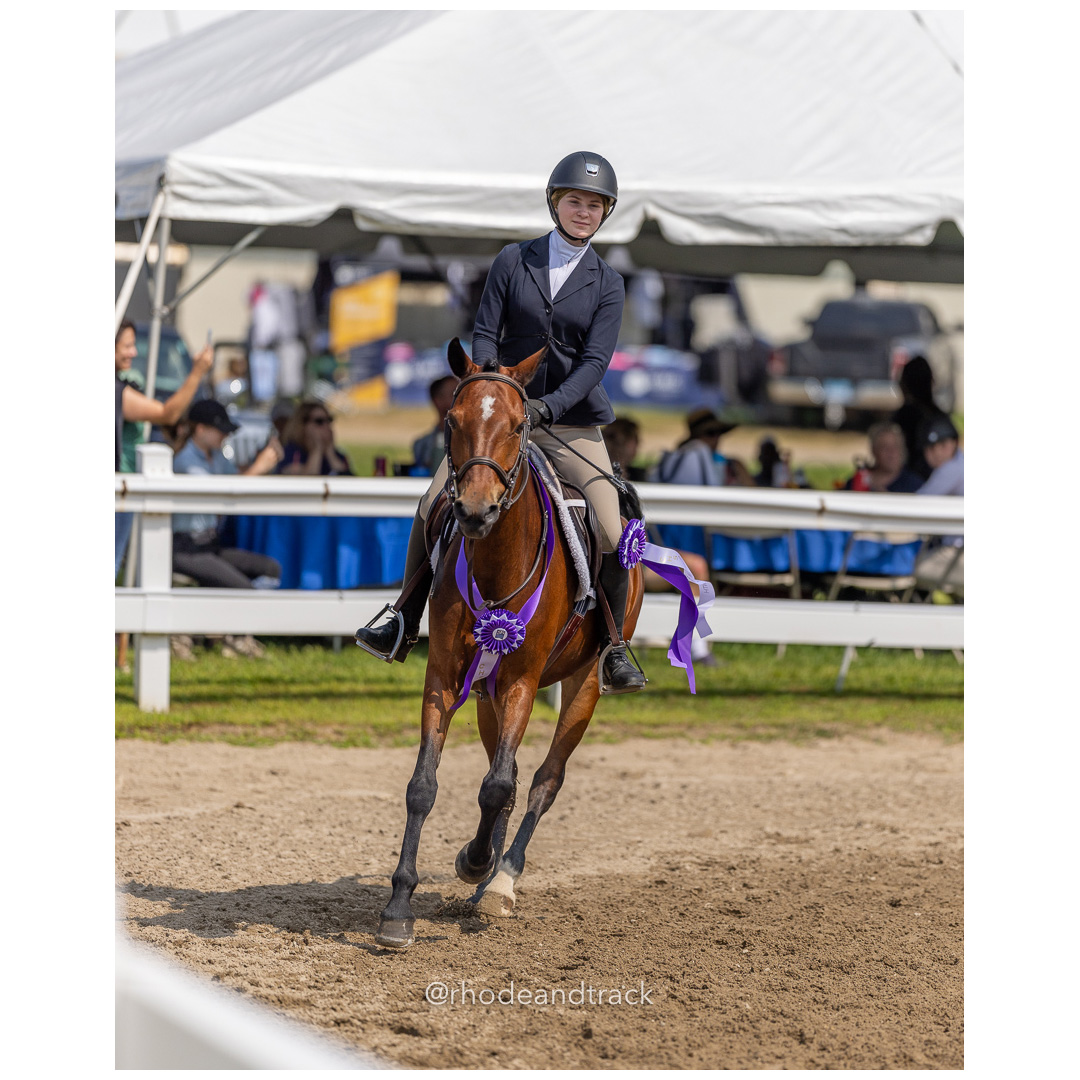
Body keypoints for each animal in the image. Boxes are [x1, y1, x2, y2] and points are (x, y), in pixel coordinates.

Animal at [373, 338, 643, 949]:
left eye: (521, 424)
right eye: (452, 420)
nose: (475, 511)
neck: (497, 563)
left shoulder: (522, 679)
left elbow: (498, 787)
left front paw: (480, 866)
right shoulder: (447, 677)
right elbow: (425, 786)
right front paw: (400, 906)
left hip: (583, 683)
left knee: (544, 780)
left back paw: (501, 879)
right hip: (486, 693)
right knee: (512, 773)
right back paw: (485, 875)